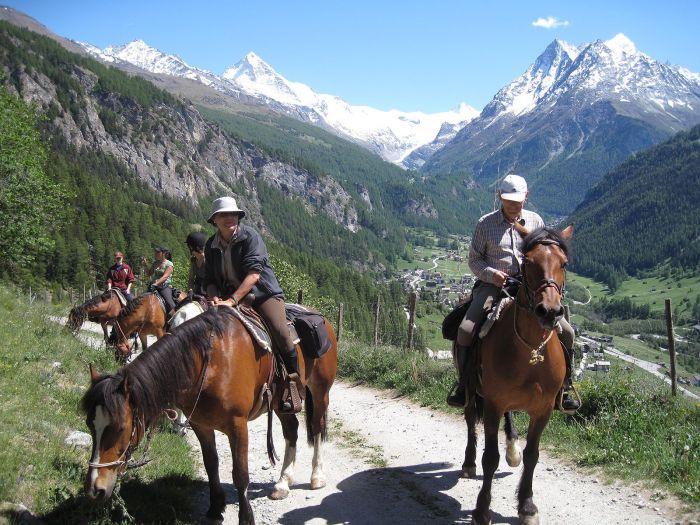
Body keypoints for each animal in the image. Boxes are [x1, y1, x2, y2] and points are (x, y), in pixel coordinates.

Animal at [80, 304, 338, 520]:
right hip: (280, 402)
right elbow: (210, 464)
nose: (94, 489)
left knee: (316, 428)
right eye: (90, 425)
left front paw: (246, 517)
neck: (209, 362)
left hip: (320, 391)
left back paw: (316, 477)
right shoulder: (200, 424)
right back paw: (283, 483)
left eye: (120, 428)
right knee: (292, 430)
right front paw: (216, 508)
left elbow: (240, 474)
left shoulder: (238, 426)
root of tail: (320, 317)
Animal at [462, 225, 572, 524]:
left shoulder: (543, 410)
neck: (531, 351)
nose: (550, 312)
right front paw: (481, 510)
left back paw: (512, 448)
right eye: (528, 262)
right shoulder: (492, 404)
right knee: (470, 420)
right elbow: (490, 458)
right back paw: (468, 462)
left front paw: (527, 506)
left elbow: (533, 455)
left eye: (564, 264)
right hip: (471, 391)